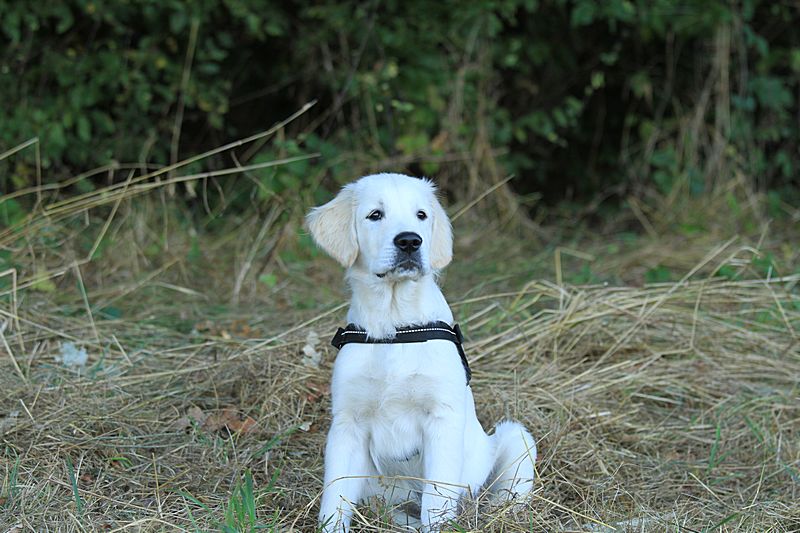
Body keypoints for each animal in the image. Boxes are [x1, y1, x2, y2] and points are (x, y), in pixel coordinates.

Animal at [307, 173, 536, 532]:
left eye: (421, 215)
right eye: (375, 215)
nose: (410, 242)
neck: (395, 326)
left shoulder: (442, 418)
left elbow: (437, 499)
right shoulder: (347, 423)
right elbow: (335, 495)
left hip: (517, 437)